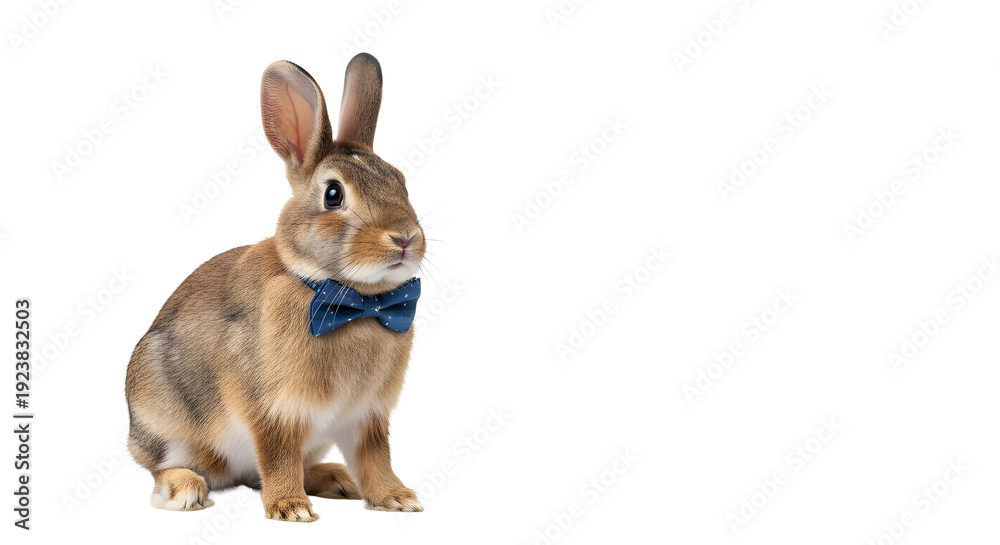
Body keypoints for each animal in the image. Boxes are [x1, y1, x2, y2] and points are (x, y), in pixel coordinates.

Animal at [125, 53, 426, 522]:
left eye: (401, 181)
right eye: (334, 194)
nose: (405, 237)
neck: (352, 297)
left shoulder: (367, 416)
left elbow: (376, 458)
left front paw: (397, 498)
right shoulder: (272, 410)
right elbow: (278, 455)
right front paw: (291, 509)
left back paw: (335, 478)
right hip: (162, 415)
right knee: (168, 467)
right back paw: (186, 491)